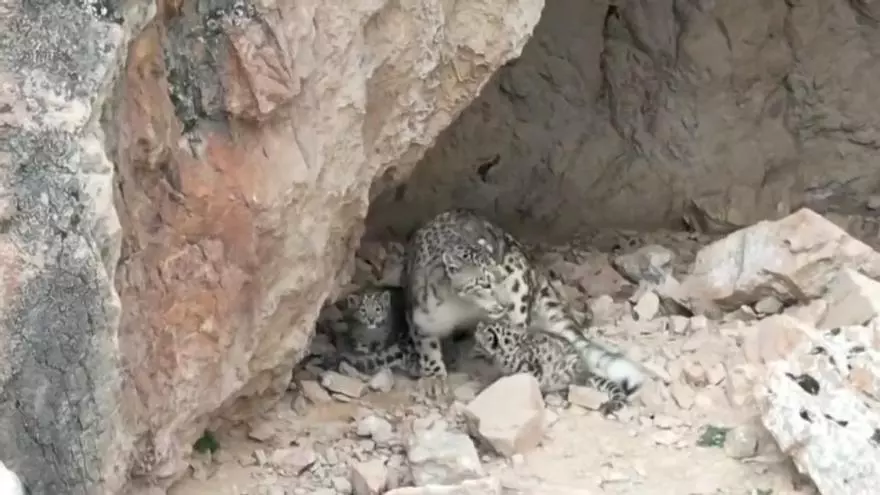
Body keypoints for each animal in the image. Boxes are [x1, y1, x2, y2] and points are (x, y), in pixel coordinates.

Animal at [404, 208, 645, 400]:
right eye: (484, 283)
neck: (461, 308)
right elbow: (427, 348)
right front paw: (435, 379)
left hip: (520, 293)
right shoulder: (421, 318)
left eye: (502, 276)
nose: (504, 304)